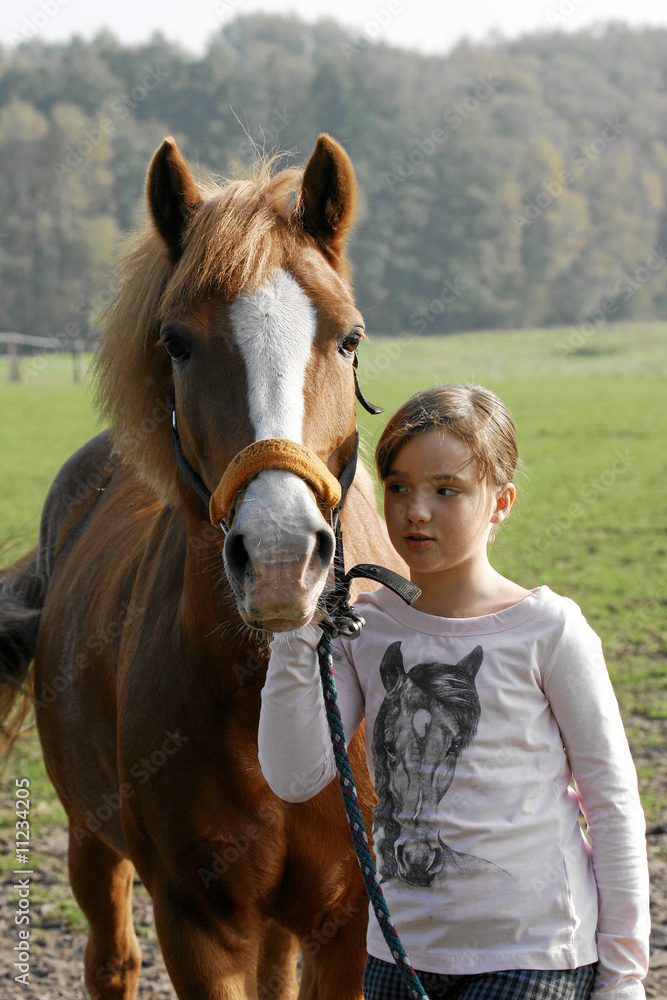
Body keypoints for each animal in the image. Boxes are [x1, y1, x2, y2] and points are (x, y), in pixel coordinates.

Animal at [0, 133, 405, 1000]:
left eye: (349, 338)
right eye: (177, 341)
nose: (281, 555)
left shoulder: (349, 919)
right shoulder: (195, 919)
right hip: (89, 838)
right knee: (111, 960)